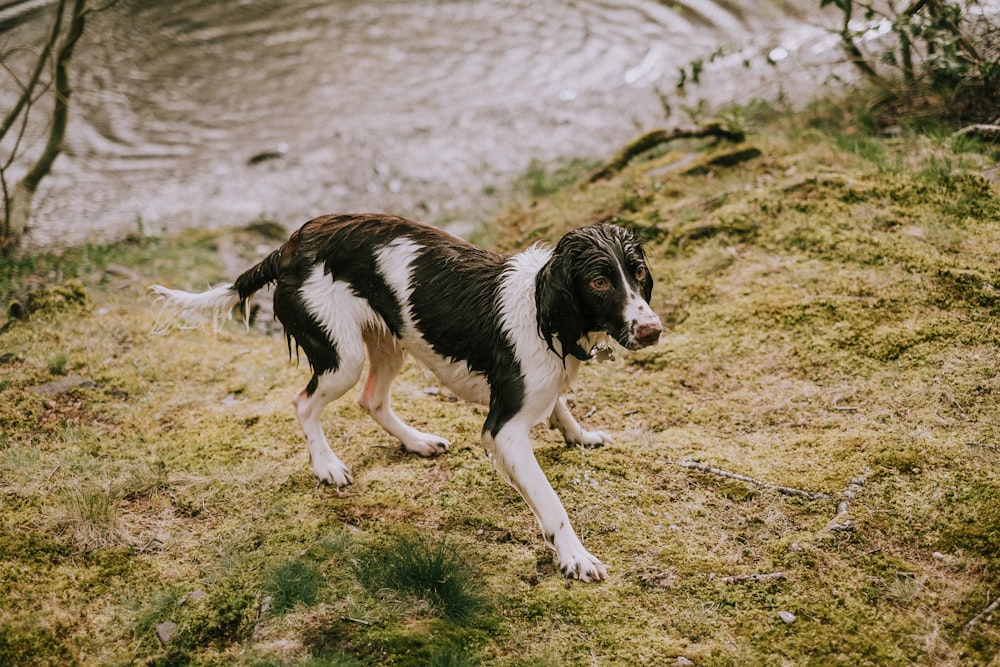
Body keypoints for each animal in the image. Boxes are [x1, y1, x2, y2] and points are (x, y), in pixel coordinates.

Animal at [150, 215, 664, 584]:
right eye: (599, 282)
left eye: (637, 272)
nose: (652, 330)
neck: (543, 312)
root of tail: (293, 243)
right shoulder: (503, 430)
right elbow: (551, 502)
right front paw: (575, 556)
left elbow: (560, 406)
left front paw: (580, 435)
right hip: (343, 355)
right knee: (304, 402)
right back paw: (327, 466)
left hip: (388, 341)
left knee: (372, 401)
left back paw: (416, 442)